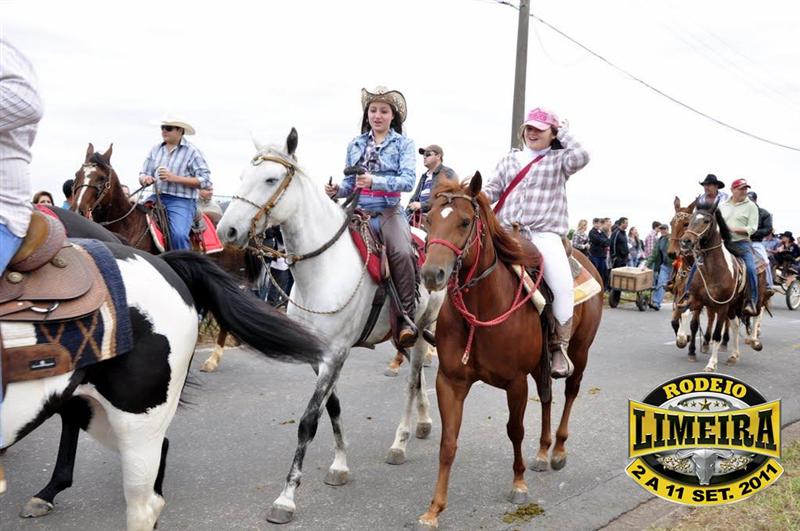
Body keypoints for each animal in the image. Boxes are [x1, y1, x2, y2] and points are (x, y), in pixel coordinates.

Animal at [216, 128, 445, 524]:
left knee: (413, 381)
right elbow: (333, 407)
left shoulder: (335, 354)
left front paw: (286, 498)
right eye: (243, 176)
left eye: (271, 179)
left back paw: (400, 442)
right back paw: (424, 423)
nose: (226, 230)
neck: (321, 270)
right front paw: (340, 465)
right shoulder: (317, 354)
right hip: (401, 334)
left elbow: (309, 420)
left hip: (420, 330)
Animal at [415, 174, 603, 529]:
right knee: (547, 397)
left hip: (581, 351)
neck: (482, 309)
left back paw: (558, 450)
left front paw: (519, 484)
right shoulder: (450, 382)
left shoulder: (515, 383)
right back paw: (543, 451)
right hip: (542, 364)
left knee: (570, 391)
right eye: (429, 219)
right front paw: (434, 508)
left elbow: (515, 431)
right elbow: (448, 442)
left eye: (464, 222)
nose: (432, 274)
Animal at [667, 197, 733, 362]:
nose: (672, 253)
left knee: (722, 319)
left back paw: (722, 341)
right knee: (710, 316)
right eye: (671, 223)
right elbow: (676, 320)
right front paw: (683, 339)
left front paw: (690, 347)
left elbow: (694, 323)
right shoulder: (682, 296)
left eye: (685, 223)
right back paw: (706, 342)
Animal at [679, 201, 767, 371]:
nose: (685, 241)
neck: (712, 270)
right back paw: (733, 356)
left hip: (755, 299)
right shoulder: (696, 299)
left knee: (757, 314)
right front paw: (681, 339)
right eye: (690, 219)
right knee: (735, 324)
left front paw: (711, 364)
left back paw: (755, 342)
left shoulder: (722, 306)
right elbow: (684, 313)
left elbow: (716, 335)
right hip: (733, 305)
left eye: (706, 221)